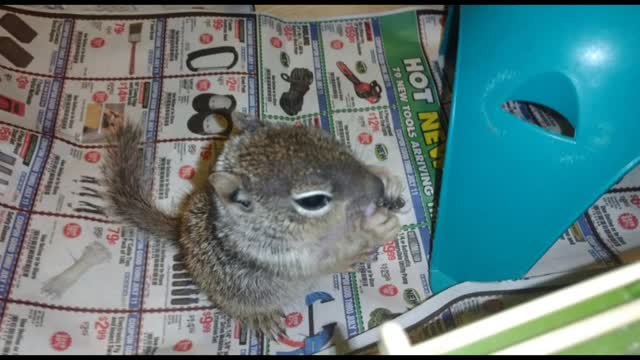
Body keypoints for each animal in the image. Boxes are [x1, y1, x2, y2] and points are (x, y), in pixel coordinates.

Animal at [103, 112, 404, 340]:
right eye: (313, 200)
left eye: (332, 141)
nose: (377, 189)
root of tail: (179, 230)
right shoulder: (288, 257)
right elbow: (332, 251)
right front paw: (373, 226)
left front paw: (386, 178)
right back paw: (262, 318)